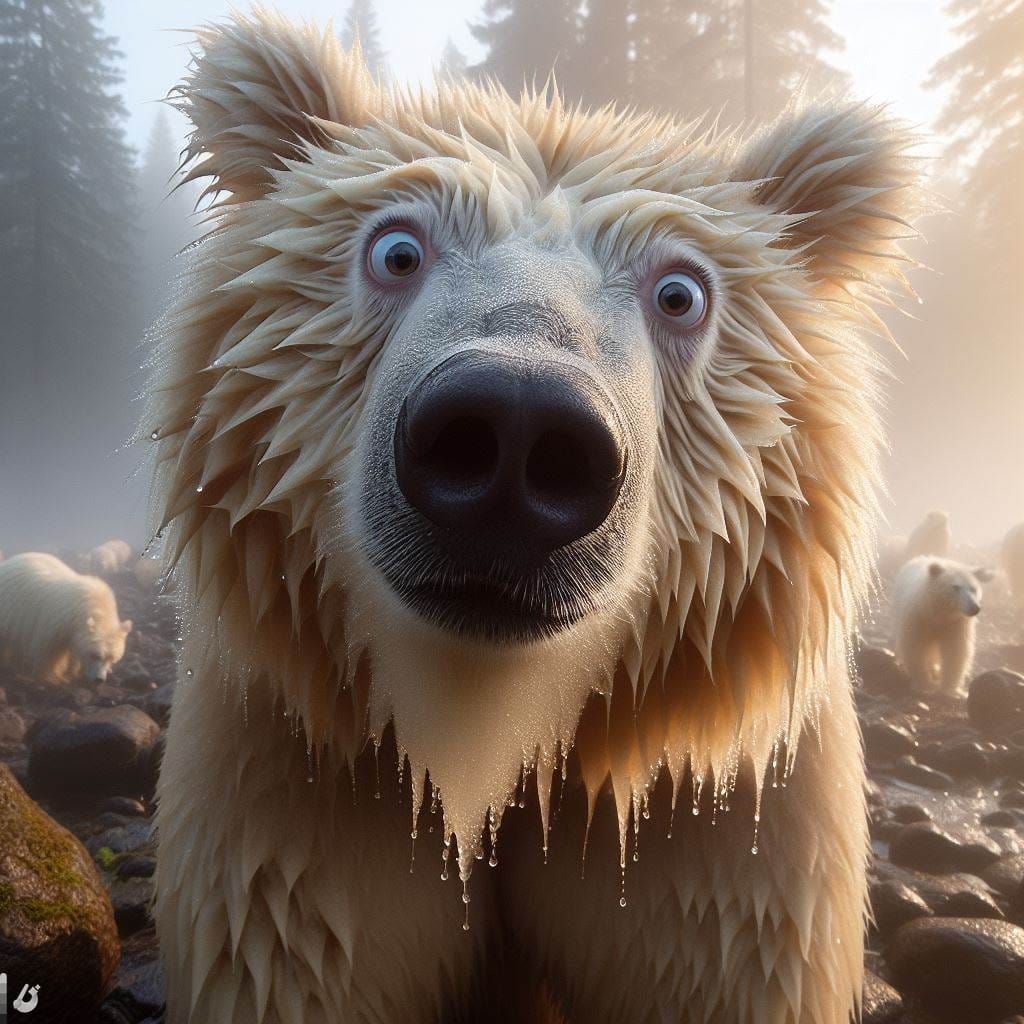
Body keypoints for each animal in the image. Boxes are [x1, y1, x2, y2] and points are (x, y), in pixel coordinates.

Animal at [0, 552, 132, 684]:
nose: (99, 679)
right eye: (96, 655)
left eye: (112, 658)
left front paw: (74, 672)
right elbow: (49, 650)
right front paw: (52, 676)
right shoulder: (55, 622)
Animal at [146, 12, 922, 1024]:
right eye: (396, 248)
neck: (487, 730)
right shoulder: (298, 787)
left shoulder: (717, 825)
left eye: (682, 292)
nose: (515, 430)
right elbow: (299, 949)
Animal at [890, 556, 994, 695]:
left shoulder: (956, 625)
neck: (940, 613)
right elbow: (915, 647)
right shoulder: (919, 618)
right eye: (955, 587)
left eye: (973, 588)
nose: (975, 608)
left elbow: (955, 650)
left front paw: (948, 688)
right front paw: (925, 684)